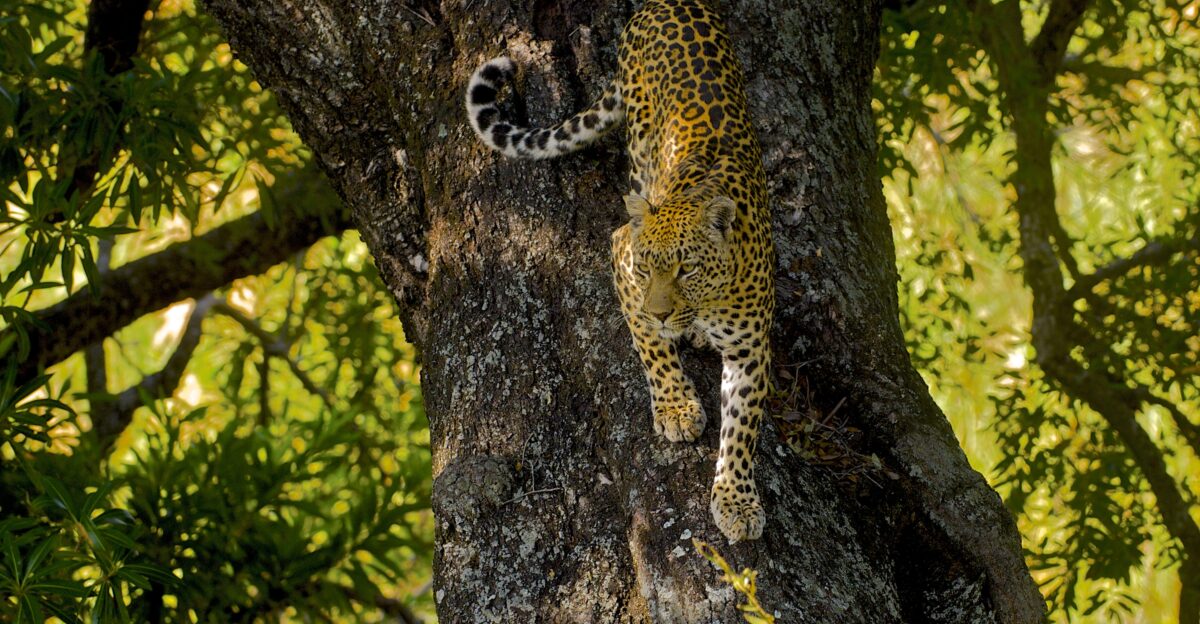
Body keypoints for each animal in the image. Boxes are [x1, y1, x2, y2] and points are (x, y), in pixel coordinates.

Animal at [465, 0, 774, 543]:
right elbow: (648, 344)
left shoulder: (750, 347)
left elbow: (741, 429)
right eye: (647, 268)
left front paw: (736, 500)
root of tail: (662, 4)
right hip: (639, 143)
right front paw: (676, 408)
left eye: (687, 268)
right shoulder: (622, 256)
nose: (664, 313)